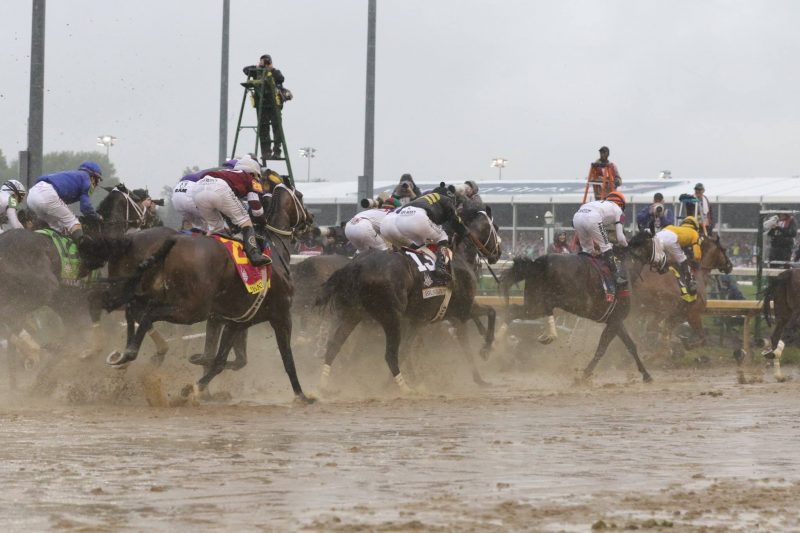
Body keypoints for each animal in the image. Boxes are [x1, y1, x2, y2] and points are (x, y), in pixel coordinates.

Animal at [105, 181, 316, 402]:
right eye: (300, 195)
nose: (311, 219)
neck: (274, 251)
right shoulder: (281, 316)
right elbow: (287, 359)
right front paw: (302, 396)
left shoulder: (237, 321)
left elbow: (223, 359)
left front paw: (196, 385)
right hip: (191, 308)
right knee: (147, 314)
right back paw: (134, 353)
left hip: (163, 297)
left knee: (134, 308)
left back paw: (126, 357)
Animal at [316, 206, 496, 392]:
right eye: (494, 228)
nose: (497, 254)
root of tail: (356, 265)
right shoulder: (462, 311)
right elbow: (487, 318)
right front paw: (485, 352)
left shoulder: (419, 321)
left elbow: (408, 350)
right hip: (391, 317)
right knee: (388, 355)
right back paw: (404, 388)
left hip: (353, 314)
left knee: (334, 346)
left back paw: (324, 386)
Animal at [500, 237, 656, 382]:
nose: (661, 265)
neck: (626, 269)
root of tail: (538, 262)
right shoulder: (616, 319)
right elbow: (602, 348)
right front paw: (584, 375)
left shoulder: (615, 320)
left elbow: (630, 345)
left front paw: (646, 375)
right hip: (543, 303)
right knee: (525, 310)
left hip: (533, 303)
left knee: (512, 311)